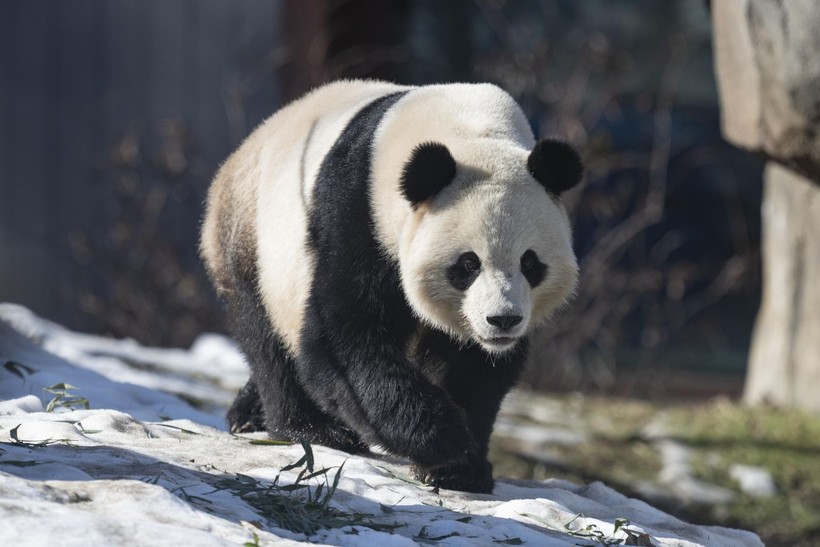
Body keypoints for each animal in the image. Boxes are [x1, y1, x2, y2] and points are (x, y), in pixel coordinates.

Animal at [199, 79, 584, 494]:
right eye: (468, 264)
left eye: (529, 262)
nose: (503, 321)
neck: (469, 130)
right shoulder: (356, 213)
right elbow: (344, 338)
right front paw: (442, 436)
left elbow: (475, 367)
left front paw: (461, 468)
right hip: (253, 239)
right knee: (267, 340)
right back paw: (308, 427)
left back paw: (246, 413)